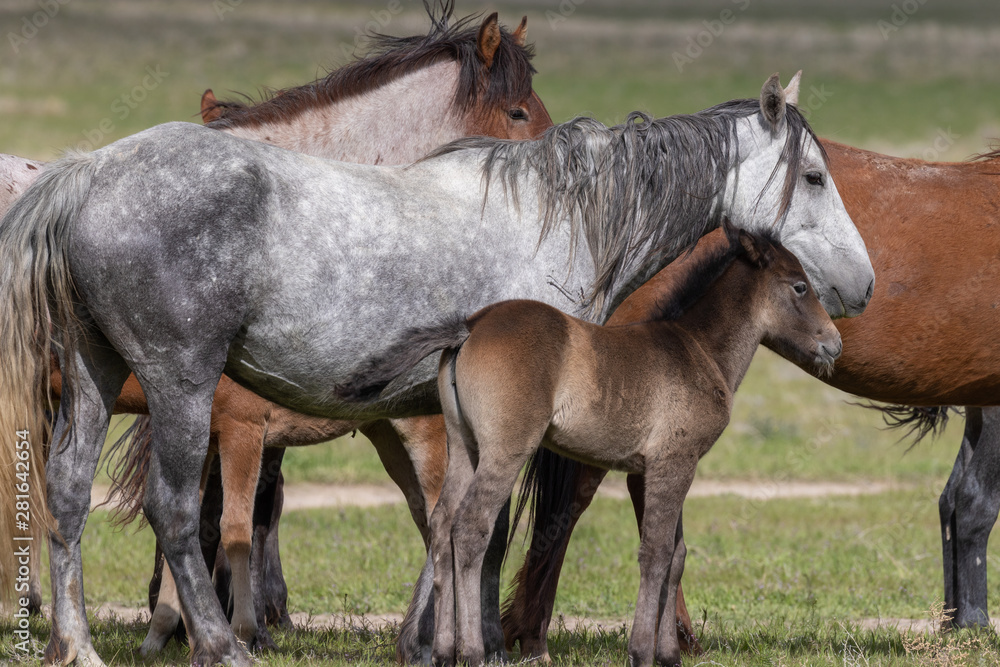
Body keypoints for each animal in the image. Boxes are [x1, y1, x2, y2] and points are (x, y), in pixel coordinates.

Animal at [334, 226, 840, 667]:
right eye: (800, 286)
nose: (833, 344)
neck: (698, 350)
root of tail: (471, 326)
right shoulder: (673, 463)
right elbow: (656, 552)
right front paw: (641, 653)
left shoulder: (661, 467)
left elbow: (676, 556)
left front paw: (669, 655)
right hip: (505, 451)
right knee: (472, 526)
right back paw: (474, 653)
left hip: (465, 446)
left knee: (442, 525)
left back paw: (442, 653)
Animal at [502, 128, 1000, 659]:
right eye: (799, 286)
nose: (836, 339)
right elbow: (975, 502)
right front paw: (973, 625)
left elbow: (953, 499)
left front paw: (953, 621)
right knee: (574, 502)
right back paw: (540, 635)